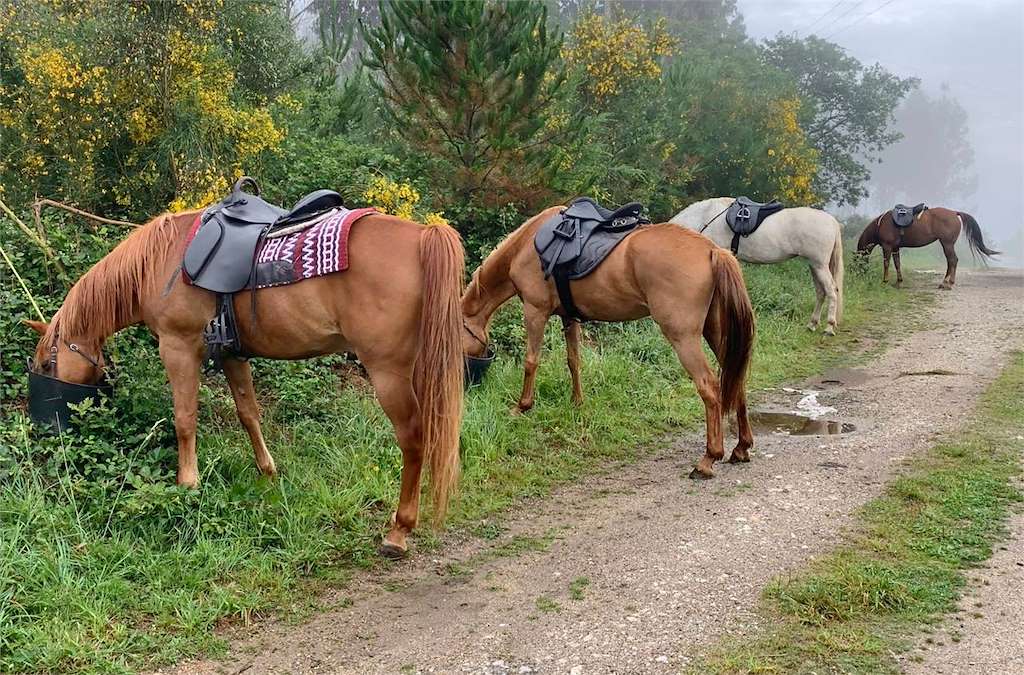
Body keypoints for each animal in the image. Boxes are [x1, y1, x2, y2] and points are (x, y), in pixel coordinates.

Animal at [25, 209, 465, 558]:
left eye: (47, 363)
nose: (46, 426)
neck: (161, 262)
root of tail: (424, 236)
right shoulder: (233, 355)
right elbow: (248, 413)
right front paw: (267, 471)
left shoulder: (178, 347)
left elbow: (185, 419)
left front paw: (188, 485)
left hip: (388, 372)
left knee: (413, 440)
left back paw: (399, 530)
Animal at [461, 207, 757, 479]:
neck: (527, 246)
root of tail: (712, 251)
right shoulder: (569, 317)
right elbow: (573, 361)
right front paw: (577, 402)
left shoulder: (535, 312)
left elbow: (531, 361)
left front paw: (522, 406)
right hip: (716, 332)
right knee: (735, 378)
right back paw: (741, 447)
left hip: (684, 337)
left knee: (709, 386)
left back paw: (708, 459)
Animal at [670, 197, 845, 335]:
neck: (704, 216)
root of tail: (832, 222)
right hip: (814, 266)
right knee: (821, 292)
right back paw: (812, 324)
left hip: (820, 265)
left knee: (831, 291)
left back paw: (829, 327)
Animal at [856, 207, 999, 289]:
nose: (859, 275)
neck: (880, 224)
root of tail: (954, 213)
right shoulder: (896, 248)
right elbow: (897, 264)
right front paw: (898, 282)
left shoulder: (887, 246)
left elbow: (886, 263)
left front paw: (885, 281)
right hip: (946, 244)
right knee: (951, 261)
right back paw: (946, 282)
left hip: (947, 243)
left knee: (952, 260)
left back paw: (947, 283)